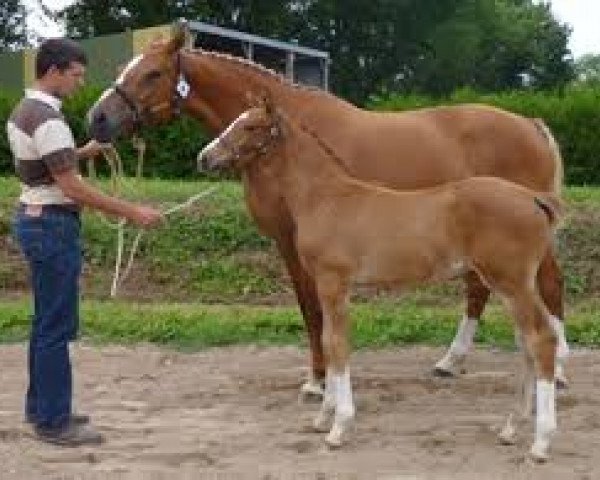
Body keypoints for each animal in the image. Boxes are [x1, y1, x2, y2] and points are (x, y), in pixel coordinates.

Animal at [199, 106, 560, 462]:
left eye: (251, 126)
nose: (205, 157)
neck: (326, 198)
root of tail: (533, 198)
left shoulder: (333, 282)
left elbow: (335, 343)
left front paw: (338, 427)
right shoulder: (331, 285)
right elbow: (328, 341)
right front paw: (323, 417)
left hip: (513, 283)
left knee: (541, 339)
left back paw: (541, 442)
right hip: (509, 286)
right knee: (526, 343)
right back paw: (510, 429)